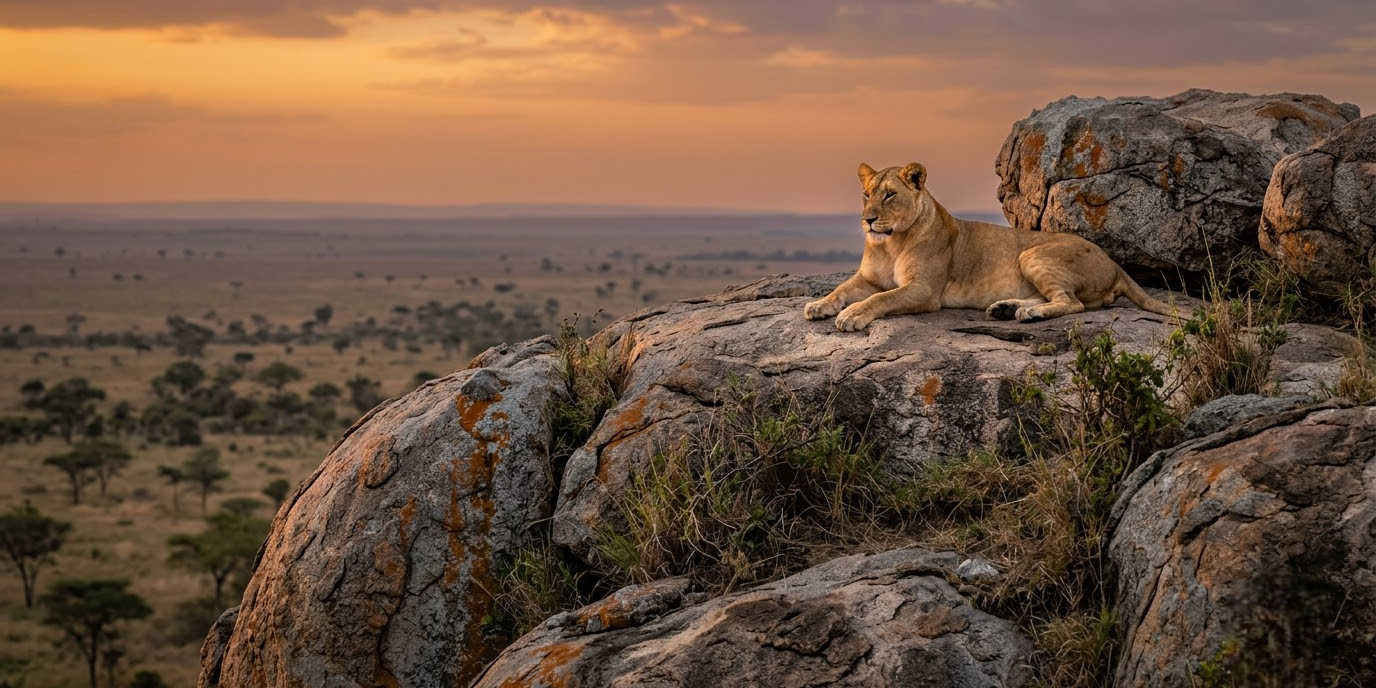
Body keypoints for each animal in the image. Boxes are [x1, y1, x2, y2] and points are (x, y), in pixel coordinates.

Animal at [803, 162, 1178, 331]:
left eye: (890, 195)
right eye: (866, 194)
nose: (867, 219)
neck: (890, 243)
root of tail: (1115, 264)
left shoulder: (924, 291)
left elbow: (882, 298)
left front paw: (852, 315)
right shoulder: (867, 278)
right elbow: (841, 289)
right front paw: (819, 305)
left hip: (1032, 253)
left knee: (1073, 304)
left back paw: (1028, 314)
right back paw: (1007, 308)